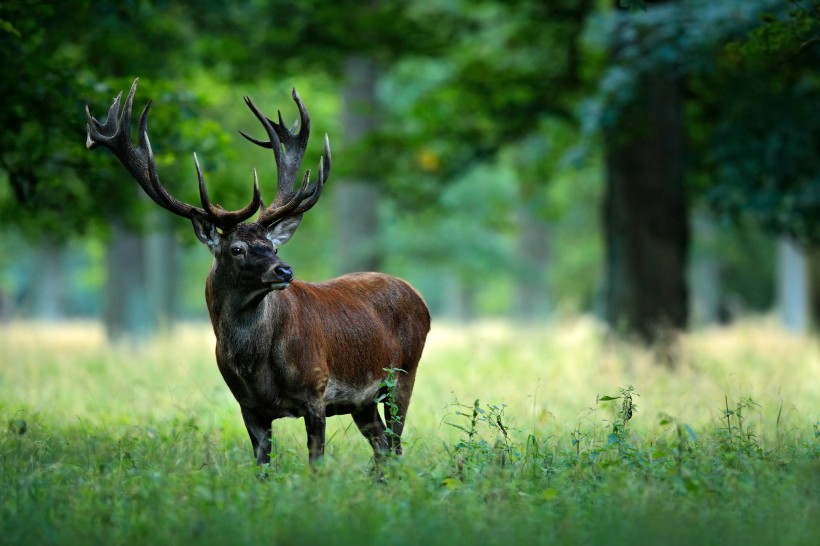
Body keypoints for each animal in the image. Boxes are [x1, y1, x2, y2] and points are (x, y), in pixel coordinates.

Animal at [85, 78, 430, 466]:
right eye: (237, 249)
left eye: (273, 246)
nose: (285, 270)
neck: (254, 367)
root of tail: (419, 298)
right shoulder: (248, 407)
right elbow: (262, 466)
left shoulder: (316, 391)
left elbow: (316, 464)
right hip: (363, 400)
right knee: (383, 449)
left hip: (403, 375)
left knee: (395, 446)